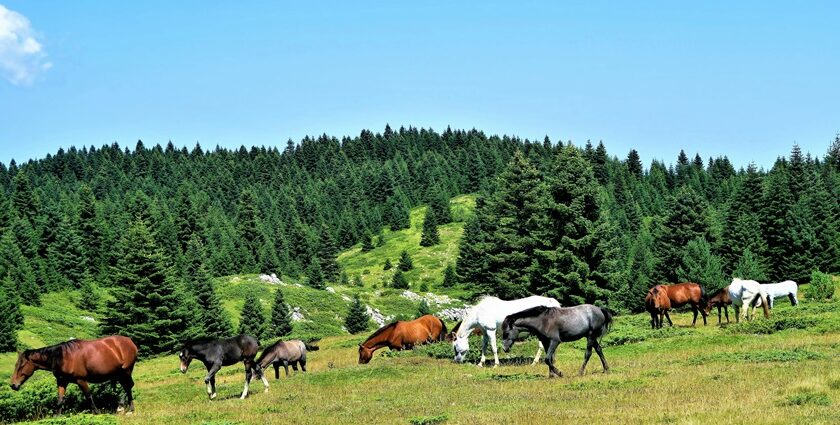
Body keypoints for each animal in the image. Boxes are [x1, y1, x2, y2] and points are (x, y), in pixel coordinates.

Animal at [9, 332, 138, 412]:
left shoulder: (81, 380)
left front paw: (97, 412)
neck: (63, 357)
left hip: (126, 371)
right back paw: (130, 408)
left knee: (129, 386)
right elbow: (60, 401)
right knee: (128, 387)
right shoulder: (62, 382)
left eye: (21, 366)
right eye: (16, 365)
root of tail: (130, 341)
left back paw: (122, 406)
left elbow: (89, 397)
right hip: (119, 374)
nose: (13, 385)